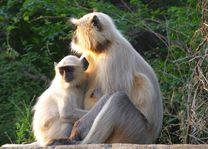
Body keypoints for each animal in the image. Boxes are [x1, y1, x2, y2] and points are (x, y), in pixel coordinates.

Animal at [50, 11, 162, 144]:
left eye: (76, 27)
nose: (74, 35)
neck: (103, 48)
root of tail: (152, 137)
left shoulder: (117, 54)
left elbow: (111, 93)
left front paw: (78, 128)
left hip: (137, 132)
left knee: (118, 99)